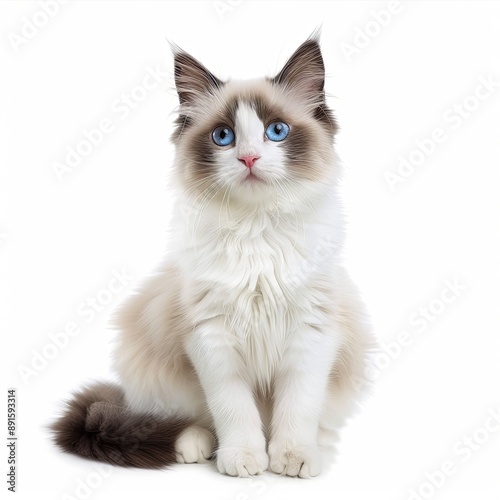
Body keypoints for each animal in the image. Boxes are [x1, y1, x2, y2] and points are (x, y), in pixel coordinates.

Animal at [53, 33, 376, 478]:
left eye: (277, 131)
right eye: (223, 137)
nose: (249, 158)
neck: (257, 232)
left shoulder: (312, 334)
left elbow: (298, 408)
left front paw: (292, 456)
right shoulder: (211, 337)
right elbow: (233, 409)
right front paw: (244, 458)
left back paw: (318, 445)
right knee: (181, 418)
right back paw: (195, 445)